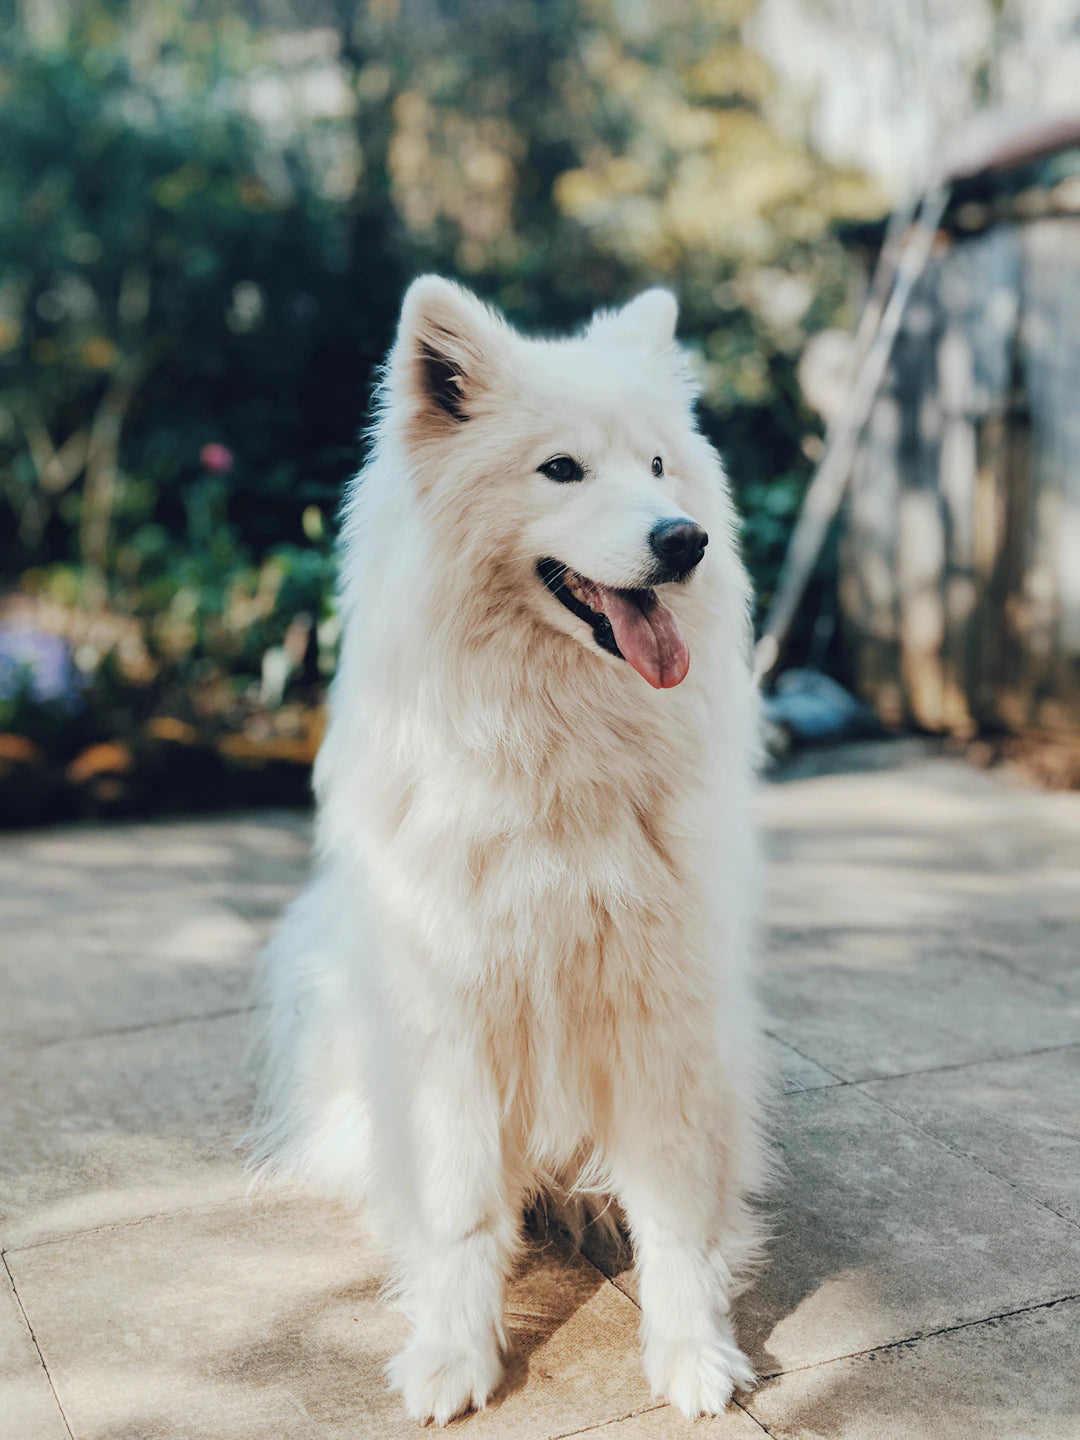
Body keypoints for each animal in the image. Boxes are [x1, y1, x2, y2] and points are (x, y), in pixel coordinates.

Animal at [247, 275, 771, 1422]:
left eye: (658, 466)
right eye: (561, 468)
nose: (685, 540)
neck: (557, 747)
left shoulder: (660, 1004)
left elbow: (676, 1210)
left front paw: (692, 1352)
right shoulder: (454, 1014)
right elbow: (459, 1214)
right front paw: (453, 1354)